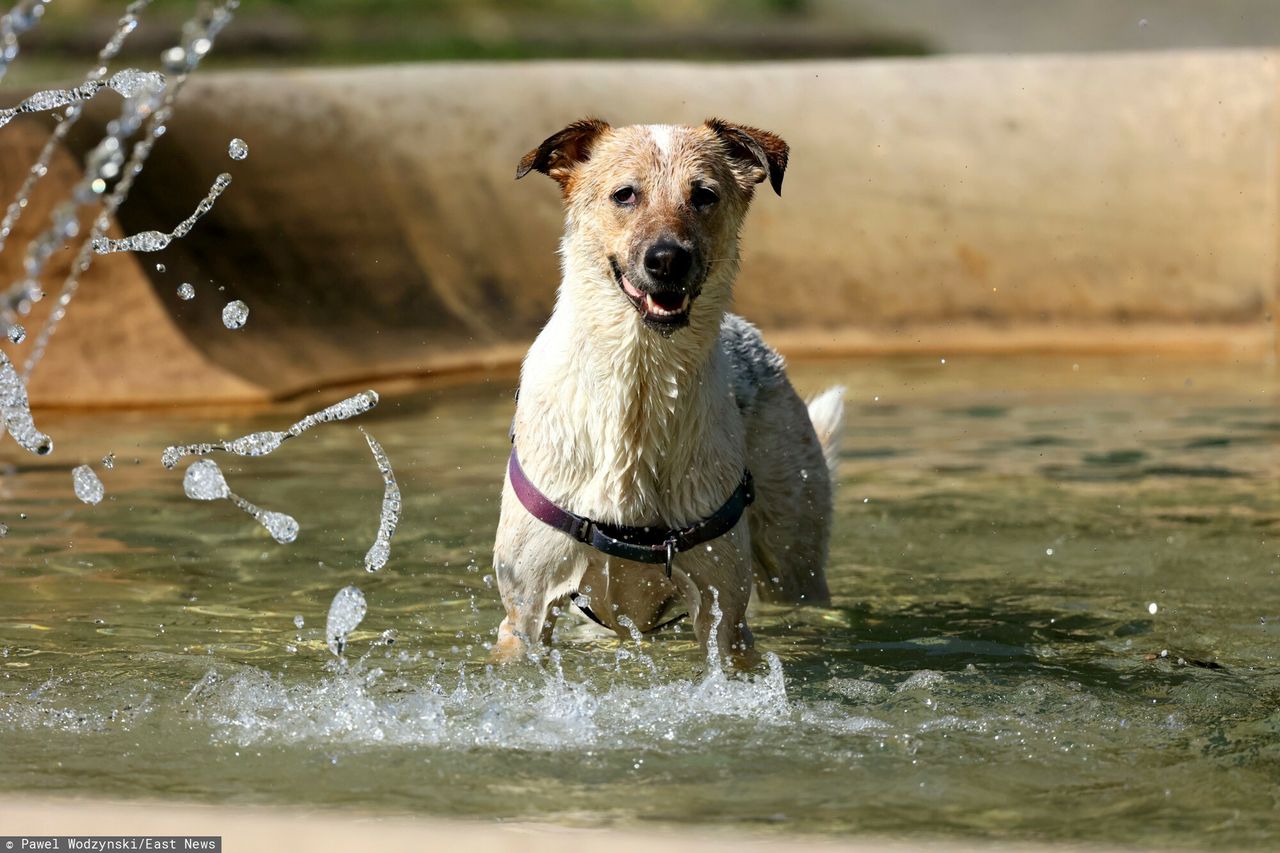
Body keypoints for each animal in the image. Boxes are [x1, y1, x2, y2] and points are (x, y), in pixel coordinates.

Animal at [494, 116, 844, 655]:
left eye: (703, 195)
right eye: (624, 194)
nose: (666, 260)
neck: (639, 384)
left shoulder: (724, 616)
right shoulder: (525, 612)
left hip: (793, 555)